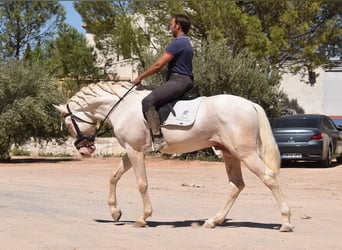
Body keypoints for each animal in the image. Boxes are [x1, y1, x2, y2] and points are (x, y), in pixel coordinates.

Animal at [54, 81, 294, 231]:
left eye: (69, 123)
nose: (84, 150)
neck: (123, 107)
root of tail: (250, 104)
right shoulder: (132, 150)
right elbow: (114, 176)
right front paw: (115, 212)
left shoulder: (135, 151)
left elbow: (142, 184)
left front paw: (142, 218)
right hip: (230, 153)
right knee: (236, 185)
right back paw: (213, 220)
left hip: (245, 153)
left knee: (269, 178)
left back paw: (286, 222)